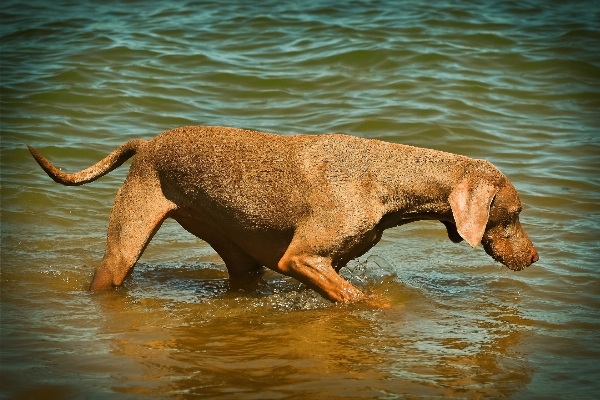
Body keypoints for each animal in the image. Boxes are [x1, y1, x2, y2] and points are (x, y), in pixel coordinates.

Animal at [29, 126, 540, 302]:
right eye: (513, 215)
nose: (535, 258)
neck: (385, 179)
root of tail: (147, 143)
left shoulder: (322, 263)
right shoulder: (300, 258)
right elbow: (360, 300)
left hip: (238, 252)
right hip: (123, 249)